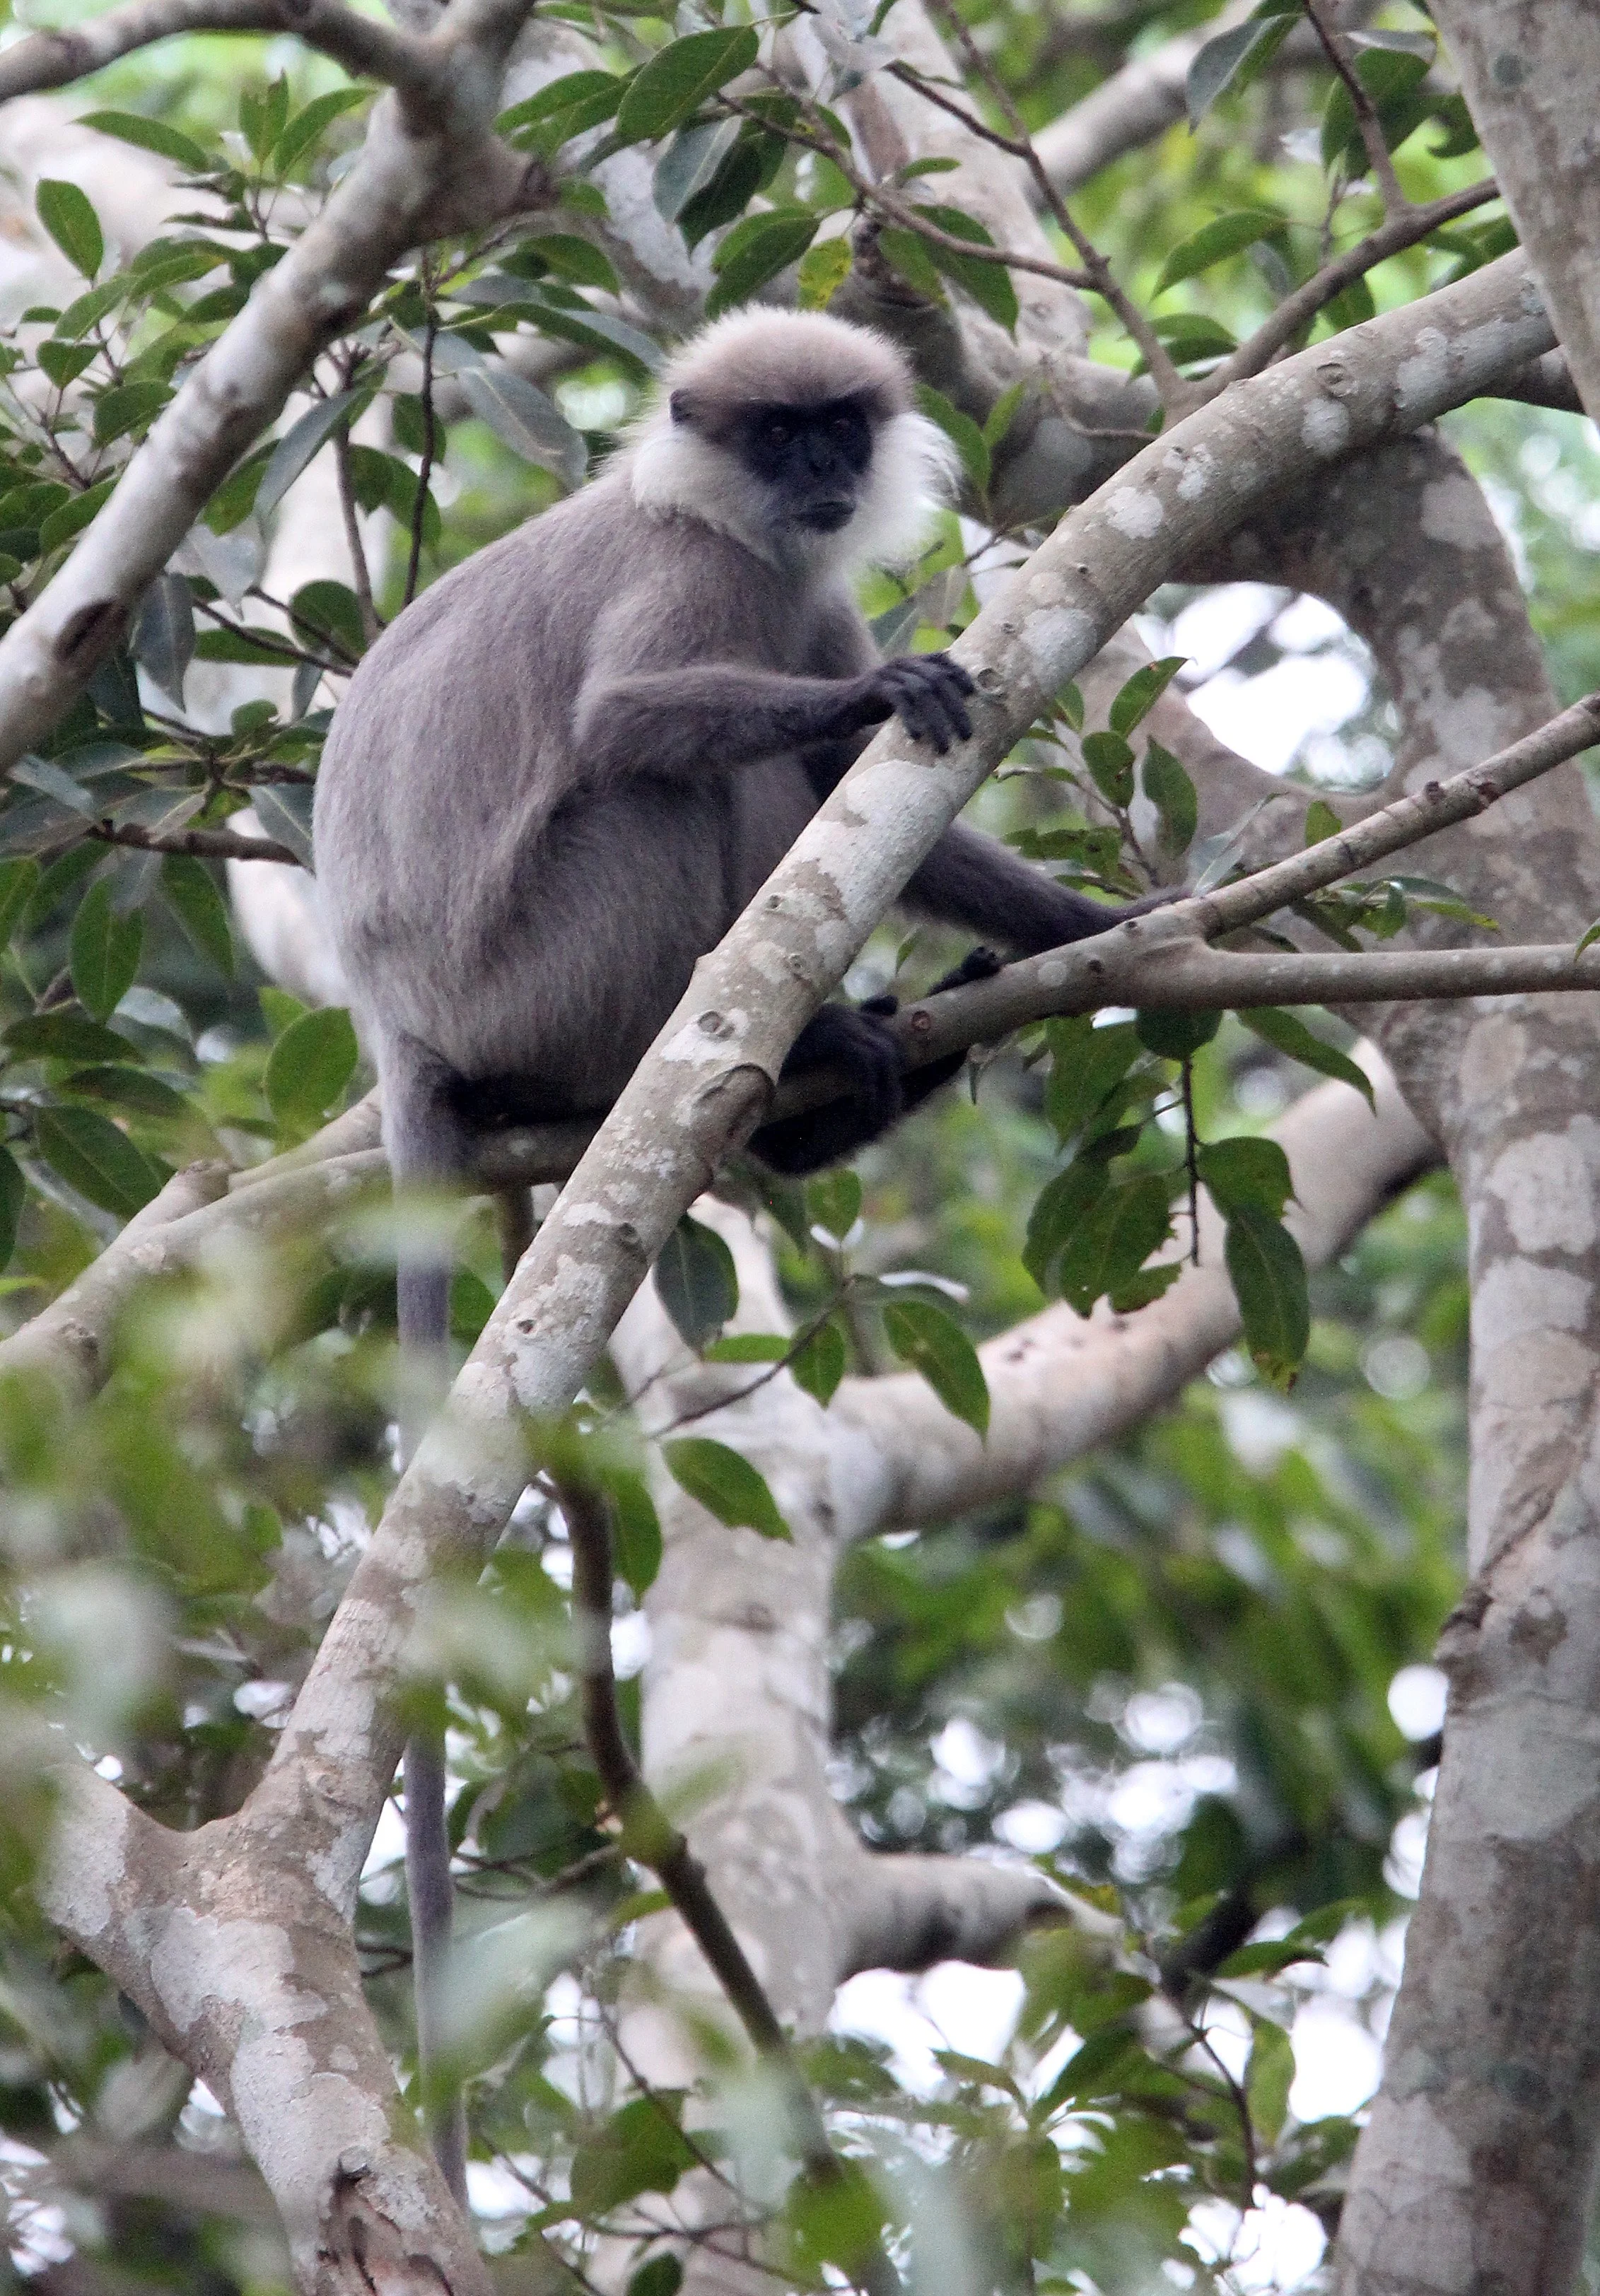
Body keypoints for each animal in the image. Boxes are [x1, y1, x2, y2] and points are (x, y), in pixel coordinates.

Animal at [310, 307, 1160, 2200]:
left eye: (836, 424)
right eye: (773, 438)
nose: (825, 474)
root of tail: (399, 1026)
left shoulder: (801, 583)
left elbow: (894, 805)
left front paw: (1105, 925)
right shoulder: (704, 574)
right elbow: (646, 715)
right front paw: (878, 696)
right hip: (556, 963)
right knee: (667, 779)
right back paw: (780, 1068)